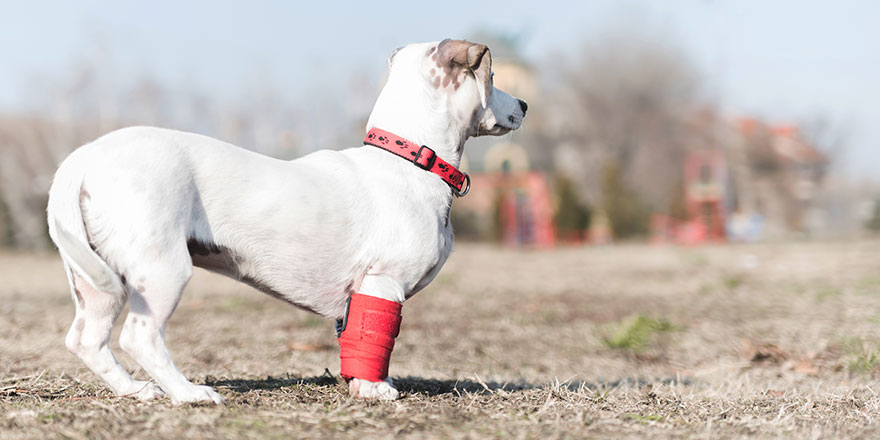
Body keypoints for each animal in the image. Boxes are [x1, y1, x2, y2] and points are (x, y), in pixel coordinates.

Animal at [48, 39, 524, 404]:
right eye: (492, 77)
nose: (523, 103)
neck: (410, 162)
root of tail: (83, 158)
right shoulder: (384, 284)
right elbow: (379, 338)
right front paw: (375, 390)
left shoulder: (359, 295)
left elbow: (358, 343)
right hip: (162, 270)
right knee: (139, 336)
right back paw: (189, 394)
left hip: (95, 279)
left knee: (86, 340)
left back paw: (135, 391)